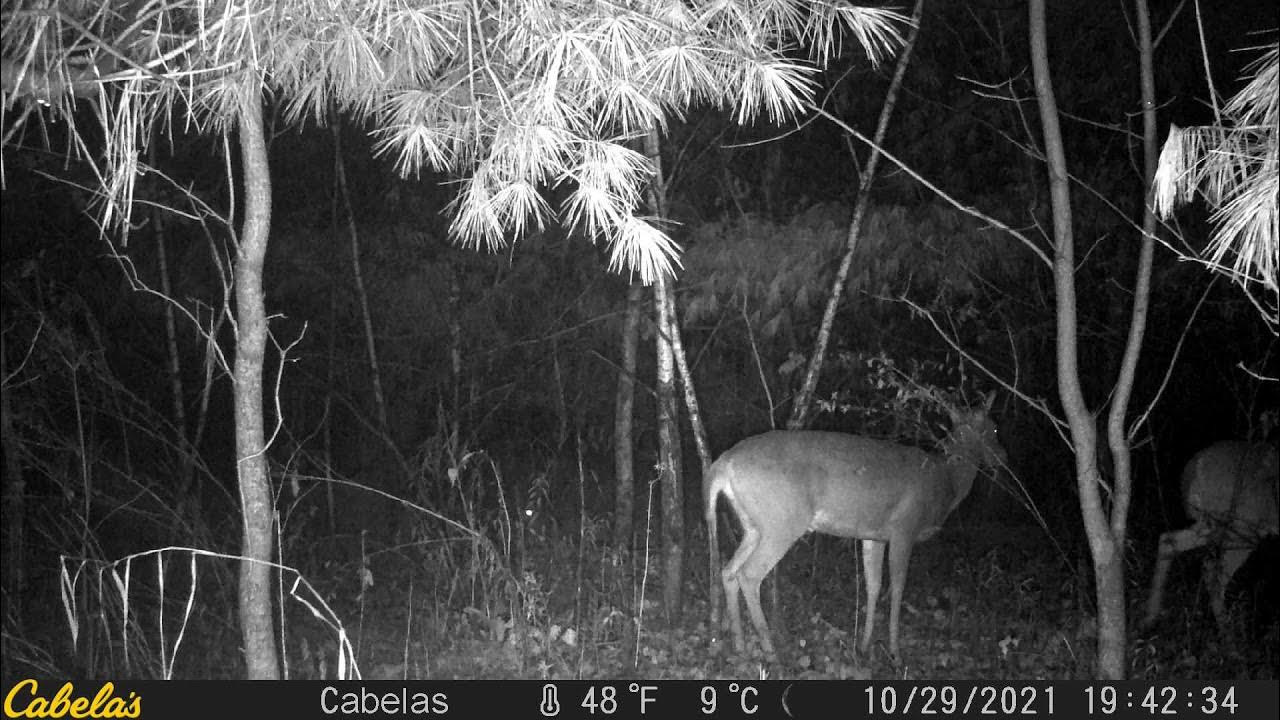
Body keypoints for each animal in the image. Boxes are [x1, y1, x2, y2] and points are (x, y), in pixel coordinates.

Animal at [705, 392, 1005, 661]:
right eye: (993, 427)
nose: (1003, 460)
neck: (947, 482)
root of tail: (723, 463)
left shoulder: (875, 535)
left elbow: (874, 585)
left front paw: (864, 645)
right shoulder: (904, 528)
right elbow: (898, 588)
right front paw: (895, 653)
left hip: (754, 524)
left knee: (728, 571)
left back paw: (740, 645)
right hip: (782, 521)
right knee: (748, 574)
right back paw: (769, 651)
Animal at [1143, 441, 1280, 629]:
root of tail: (1196, 466)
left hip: (1212, 524)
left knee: (1168, 540)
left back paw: (1150, 617)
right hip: (1242, 528)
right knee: (1213, 572)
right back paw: (1228, 631)